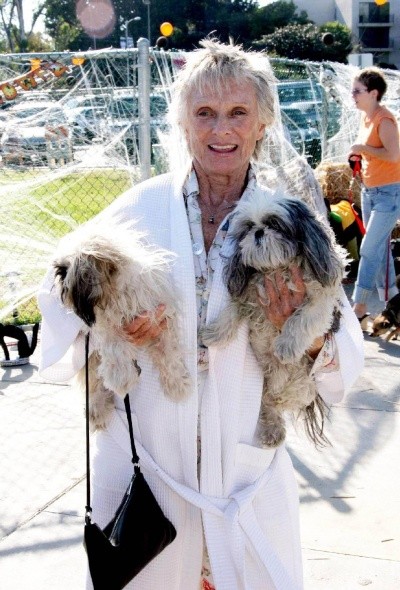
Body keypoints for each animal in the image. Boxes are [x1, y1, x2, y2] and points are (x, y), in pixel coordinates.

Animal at [53, 224, 191, 432]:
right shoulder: (105, 326)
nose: (58, 286)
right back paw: (96, 409)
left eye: (62, 271)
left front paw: (177, 384)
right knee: (93, 383)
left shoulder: (160, 318)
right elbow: (115, 346)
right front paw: (121, 379)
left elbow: (169, 352)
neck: (119, 293)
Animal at [202, 190, 346, 448]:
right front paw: (214, 333)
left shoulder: (321, 301)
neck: (277, 268)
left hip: (301, 384)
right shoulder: (249, 295)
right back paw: (272, 430)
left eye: (275, 224)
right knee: (268, 404)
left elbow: (302, 318)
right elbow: (231, 312)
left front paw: (287, 345)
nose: (259, 232)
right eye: (249, 227)